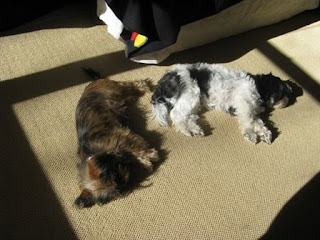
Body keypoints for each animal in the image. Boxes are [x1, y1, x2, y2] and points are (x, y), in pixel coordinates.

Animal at [74, 74, 159, 208]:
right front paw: (145, 162)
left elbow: (137, 149)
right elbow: (134, 154)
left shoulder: (123, 137)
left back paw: (146, 87)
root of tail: (94, 82)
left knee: (134, 84)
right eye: (114, 192)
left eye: (111, 175)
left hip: (118, 90)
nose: (121, 184)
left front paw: (149, 157)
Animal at [151, 62, 294, 144]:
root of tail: (165, 79)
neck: (258, 86)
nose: (288, 101)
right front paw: (251, 134)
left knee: (189, 116)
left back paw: (195, 129)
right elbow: (249, 121)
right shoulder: (245, 103)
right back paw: (186, 130)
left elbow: (257, 121)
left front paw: (264, 133)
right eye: (282, 94)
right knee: (176, 114)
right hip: (190, 93)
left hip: (195, 102)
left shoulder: (247, 108)